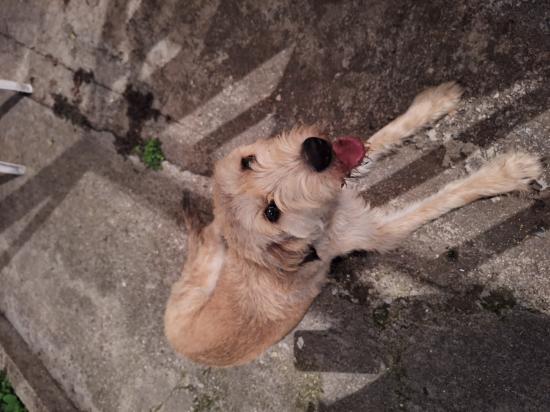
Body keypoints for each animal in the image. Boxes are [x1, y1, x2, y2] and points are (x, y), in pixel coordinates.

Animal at [164, 82, 544, 366]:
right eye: (271, 213)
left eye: (248, 161)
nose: (317, 151)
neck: (321, 220)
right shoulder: (378, 232)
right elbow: (445, 195)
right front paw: (505, 174)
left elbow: (381, 136)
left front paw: (430, 105)